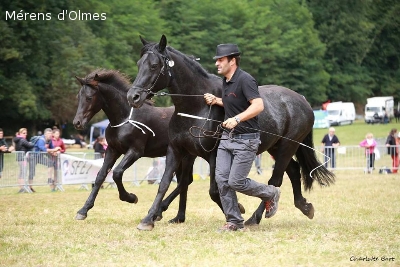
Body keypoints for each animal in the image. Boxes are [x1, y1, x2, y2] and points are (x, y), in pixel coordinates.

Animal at [74, 69, 198, 222]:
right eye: (78, 96)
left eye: (89, 97)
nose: (77, 123)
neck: (125, 118)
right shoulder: (112, 150)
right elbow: (100, 176)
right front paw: (83, 210)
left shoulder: (135, 151)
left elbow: (117, 173)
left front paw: (130, 197)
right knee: (184, 182)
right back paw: (178, 217)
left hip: (187, 157)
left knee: (184, 181)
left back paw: (160, 211)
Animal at [128, 35, 334, 232]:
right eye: (138, 64)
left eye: (154, 65)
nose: (133, 97)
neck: (196, 107)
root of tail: (302, 100)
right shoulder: (176, 151)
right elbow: (164, 184)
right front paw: (148, 219)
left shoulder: (213, 156)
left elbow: (214, 190)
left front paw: (238, 212)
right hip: (276, 147)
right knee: (292, 171)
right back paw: (304, 206)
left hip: (288, 146)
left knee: (276, 179)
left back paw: (255, 218)